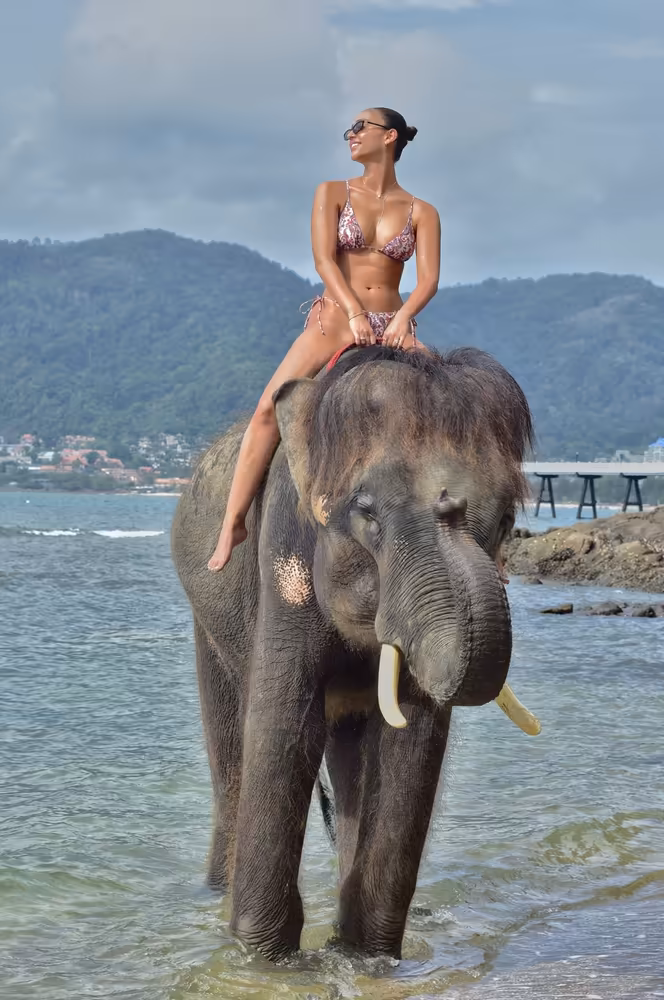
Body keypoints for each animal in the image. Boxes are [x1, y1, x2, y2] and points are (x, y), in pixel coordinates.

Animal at [171, 345, 538, 961]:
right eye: (366, 510)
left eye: (509, 518)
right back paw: (215, 893)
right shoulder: (284, 550)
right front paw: (267, 961)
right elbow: (283, 723)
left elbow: (412, 740)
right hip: (210, 615)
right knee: (232, 753)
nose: (450, 506)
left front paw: (365, 957)